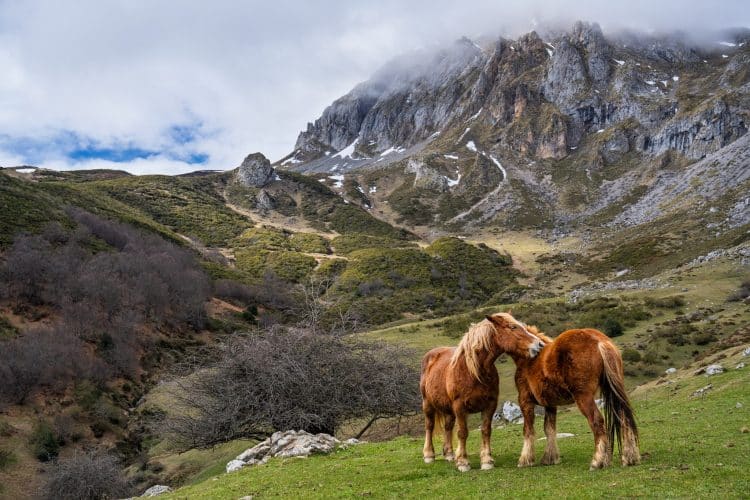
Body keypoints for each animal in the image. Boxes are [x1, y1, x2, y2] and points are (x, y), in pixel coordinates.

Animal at [420, 312, 545, 472]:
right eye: (513, 327)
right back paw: (429, 455)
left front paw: (486, 460)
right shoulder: (459, 407)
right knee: (429, 426)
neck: (473, 371)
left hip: (448, 410)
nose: (540, 345)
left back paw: (449, 454)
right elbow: (462, 432)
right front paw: (463, 462)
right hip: (428, 404)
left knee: (448, 428)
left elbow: (486, 430)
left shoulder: (490, 404)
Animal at [508, 326, 640, 470]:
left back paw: (597, 462)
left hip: (583, 397)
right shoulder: (550, 404)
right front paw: (550, 458)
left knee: (597, 421)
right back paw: (630, 458)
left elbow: (528, 430)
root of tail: (600, 341)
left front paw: (525, 460)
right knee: (624, 418)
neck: (528, 360)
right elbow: (549, 429)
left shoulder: (525, 402)